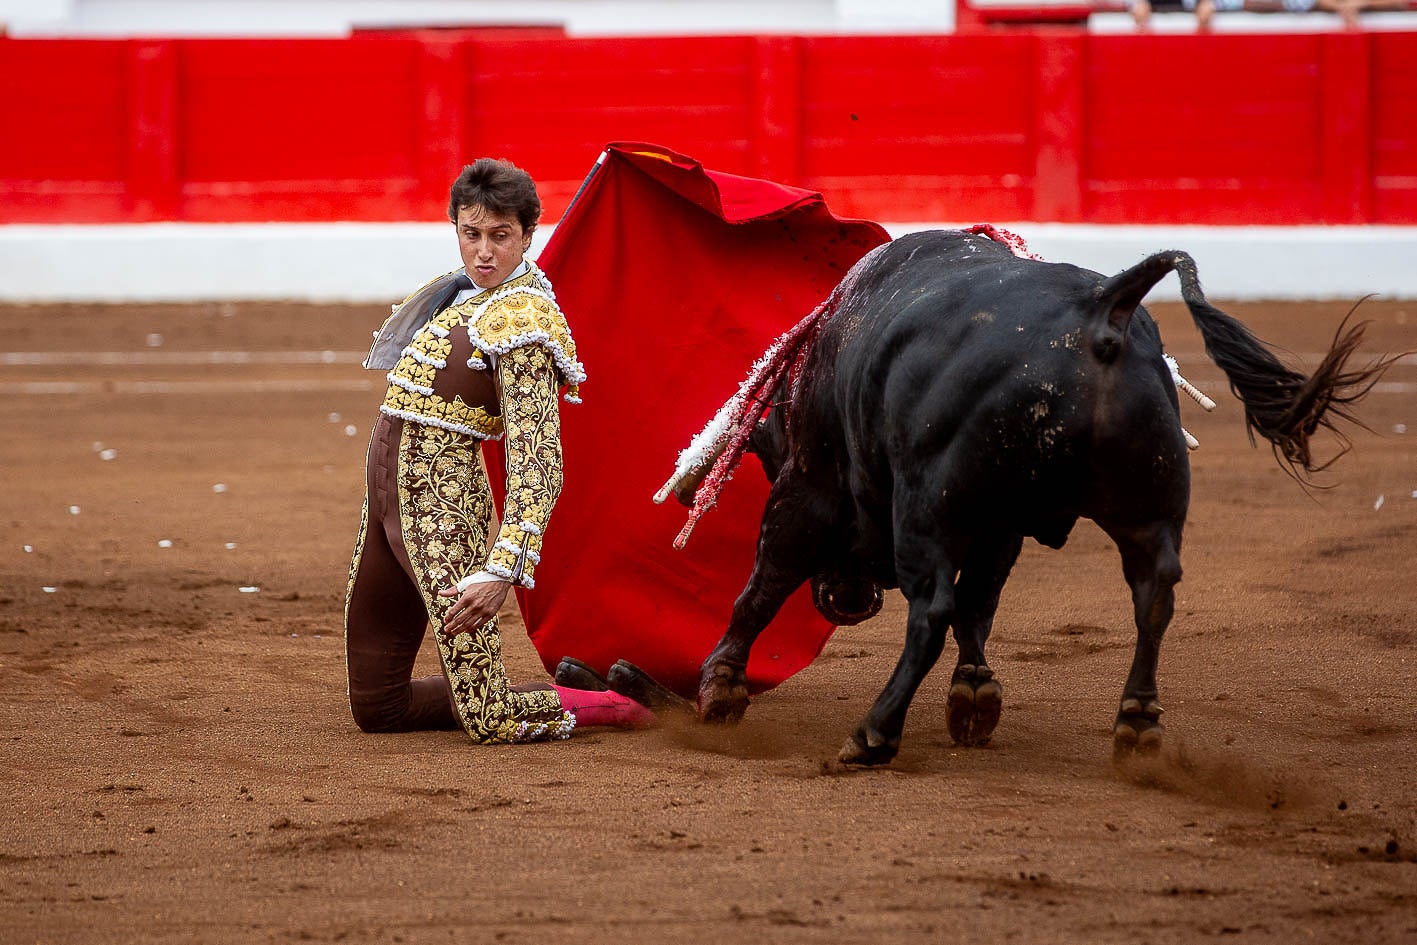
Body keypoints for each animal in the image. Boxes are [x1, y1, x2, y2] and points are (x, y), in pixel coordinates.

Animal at [688, 229, 1394, 770]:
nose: (849, 601)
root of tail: (1100, 309)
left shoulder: (811, 483)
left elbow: (766, 582)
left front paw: (720, 688)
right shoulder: (1001, 525)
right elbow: (981, 606)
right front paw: (975, 699)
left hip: (926, 509)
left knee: (930, 609)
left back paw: (874, 734)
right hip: (1147, 507)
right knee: (1152, 597)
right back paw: (1137, 723)